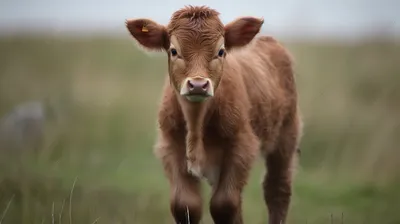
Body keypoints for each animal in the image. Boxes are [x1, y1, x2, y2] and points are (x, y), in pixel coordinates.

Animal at [126, 5, 302, 224]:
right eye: (174, 51)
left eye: (221, 51)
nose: (198, 85)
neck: (196, 122)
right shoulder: (170, 146)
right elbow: (185, 204)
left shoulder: (242, 145)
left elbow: (224, 204)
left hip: (286, 137)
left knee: (277, 188)